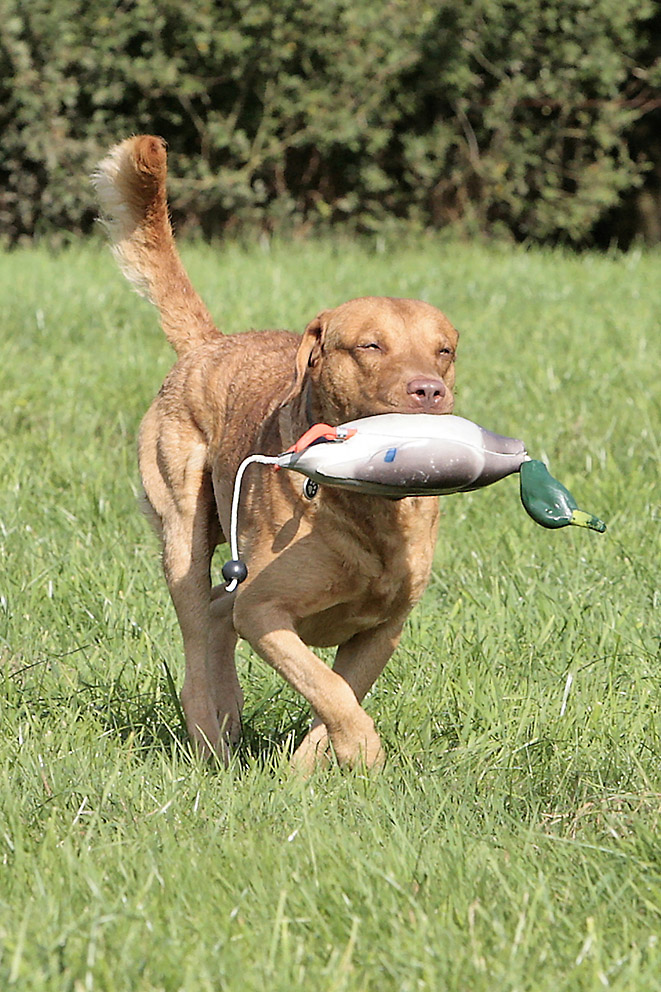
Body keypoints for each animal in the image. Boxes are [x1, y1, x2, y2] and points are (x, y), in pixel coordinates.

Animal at [93, 136, 456, 772]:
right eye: (370, 346)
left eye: (444, 351)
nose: (428, 391)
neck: (366, 509)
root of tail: (211, 343)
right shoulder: (263, 611)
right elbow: (327, 686)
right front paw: (362, 751)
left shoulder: (383, 629)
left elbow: (338, 696)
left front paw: (310, 771)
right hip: (182, 529)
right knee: (199, 634)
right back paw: (211, 737)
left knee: (217, 618)